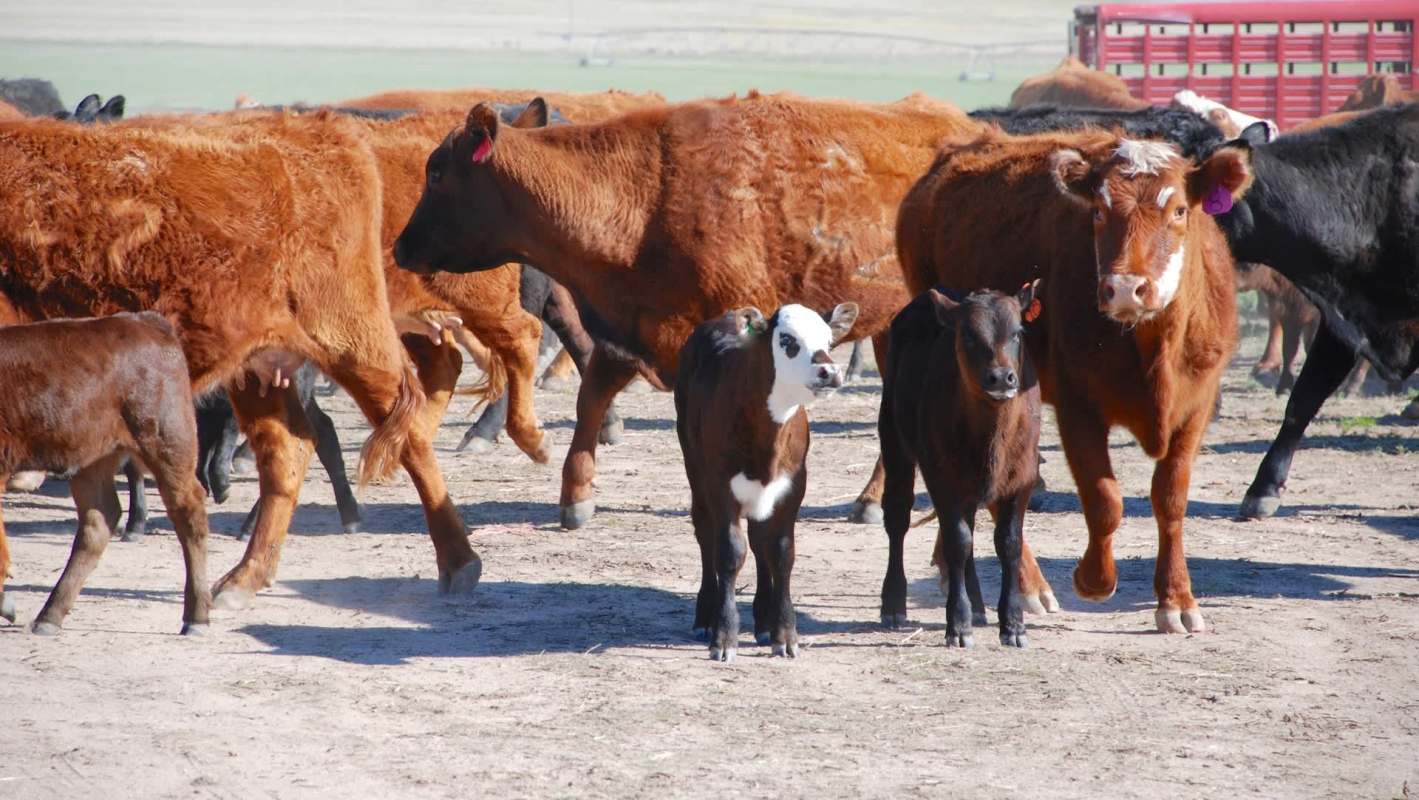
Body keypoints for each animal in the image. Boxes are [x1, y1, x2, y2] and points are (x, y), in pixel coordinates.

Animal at [0, 313, 210, 635]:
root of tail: (144, 321)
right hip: (93, 457)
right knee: (100, 519)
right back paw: (50, 615)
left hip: (167, 442)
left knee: (189, 512)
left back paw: (196, 617)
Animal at [394, 91, 981, 530]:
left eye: (438, 171)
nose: (400, 248)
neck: (644, 194)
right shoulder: (630, 331)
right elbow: (591, 399)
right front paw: (576, 495)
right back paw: (872, 498)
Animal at [675, 302, 858, 661]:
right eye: (787, 340)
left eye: (829, 340)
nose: (829, 371)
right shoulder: (720, 484)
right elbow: (730, 552)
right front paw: (724, 636)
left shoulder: (794, 485)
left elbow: (782, 552)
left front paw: (784, 634)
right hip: (694, 468)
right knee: (705, 533)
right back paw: (705, 616)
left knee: (760, 542)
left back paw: (762, 621)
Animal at [879, 283, 1042, 648]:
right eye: (967, 334)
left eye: (1018, 331)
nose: (1001, 378)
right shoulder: (940, 476)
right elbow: (957, 541)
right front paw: (958, 623)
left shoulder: (1022, 477)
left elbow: (1008, 543)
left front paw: (1013, 625)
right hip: (894, 441)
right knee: (898, 518)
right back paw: (893, 605)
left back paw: (980, 606)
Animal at [896, 128, 1244, 632]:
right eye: (1098, 212)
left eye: (1179, 210)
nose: (1124, 288)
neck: (1152, 343)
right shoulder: (1078, 406)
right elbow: (1104, 500)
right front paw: (1093, 580)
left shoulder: (1197, 405)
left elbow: (1171, 499)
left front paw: (1176, 599)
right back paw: (1028, 586)